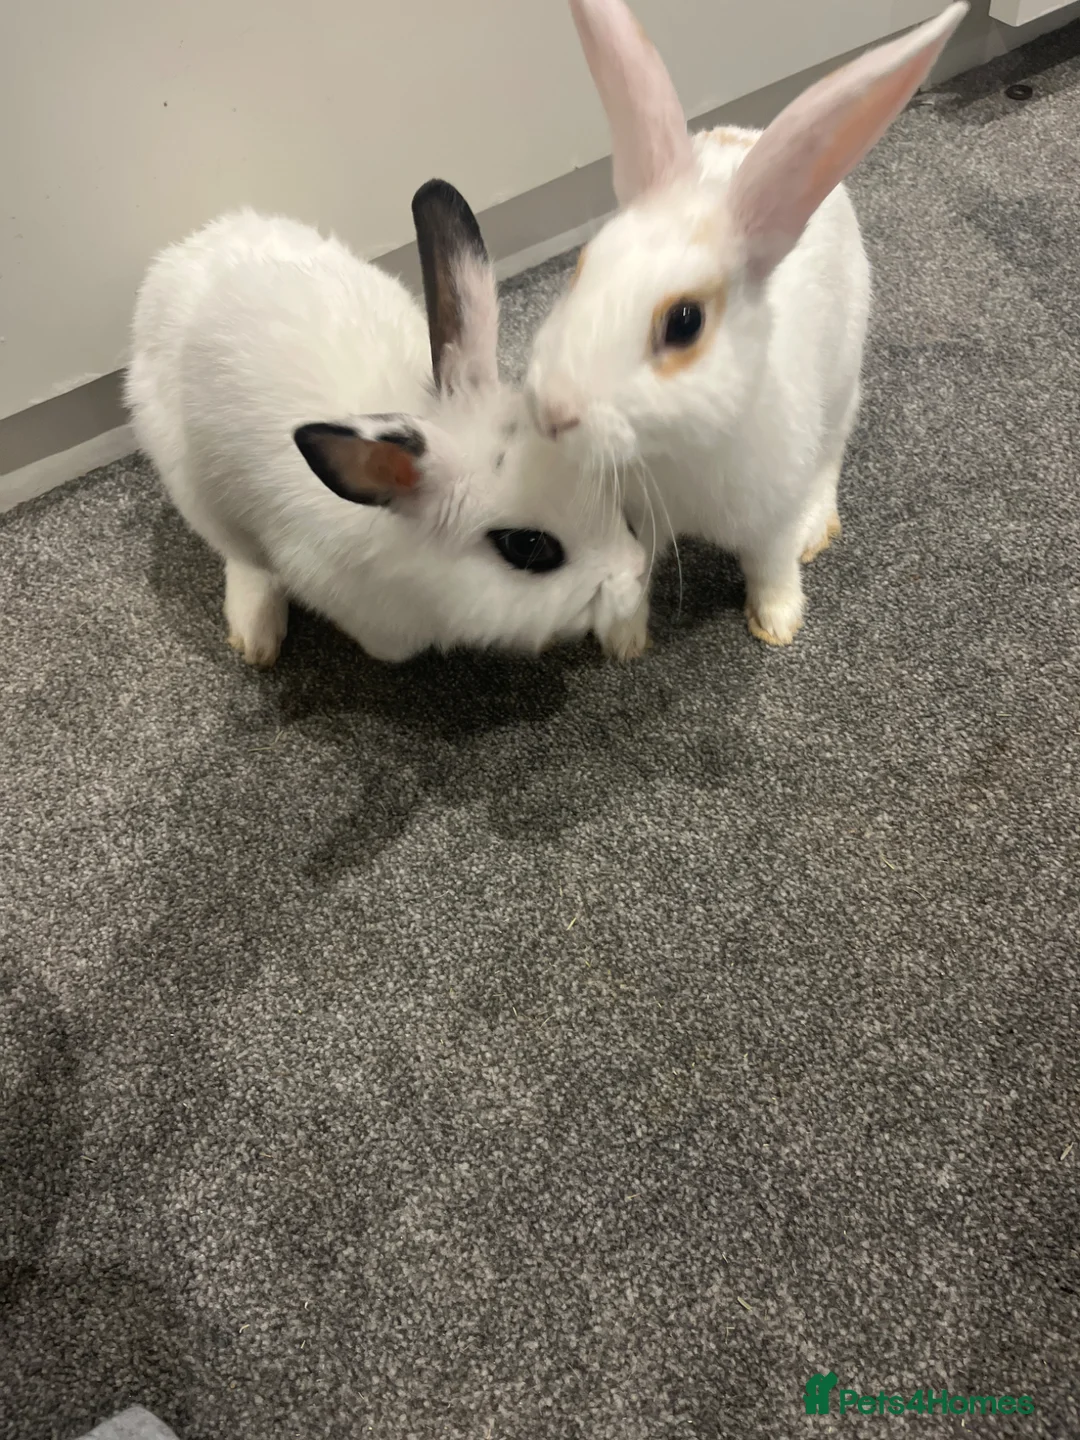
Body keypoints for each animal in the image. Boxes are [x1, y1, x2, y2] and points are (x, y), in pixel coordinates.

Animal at [125, 182, 647, 668]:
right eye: (528, 547)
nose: (636, 569)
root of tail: (184, 251)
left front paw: (629, 636)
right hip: (195, 491)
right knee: (242, 559)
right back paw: (256, 633)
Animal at [525, 1, 968, 655]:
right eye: (581, 266)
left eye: (685, 322)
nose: (551, 411)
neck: (674, 454)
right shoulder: (629, 521)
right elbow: (631, 576)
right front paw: (625, 641)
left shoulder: (769, 518)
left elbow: (771, 566)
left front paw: (778, 623)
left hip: (841, 382)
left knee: (831, 452)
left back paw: (817, 527)